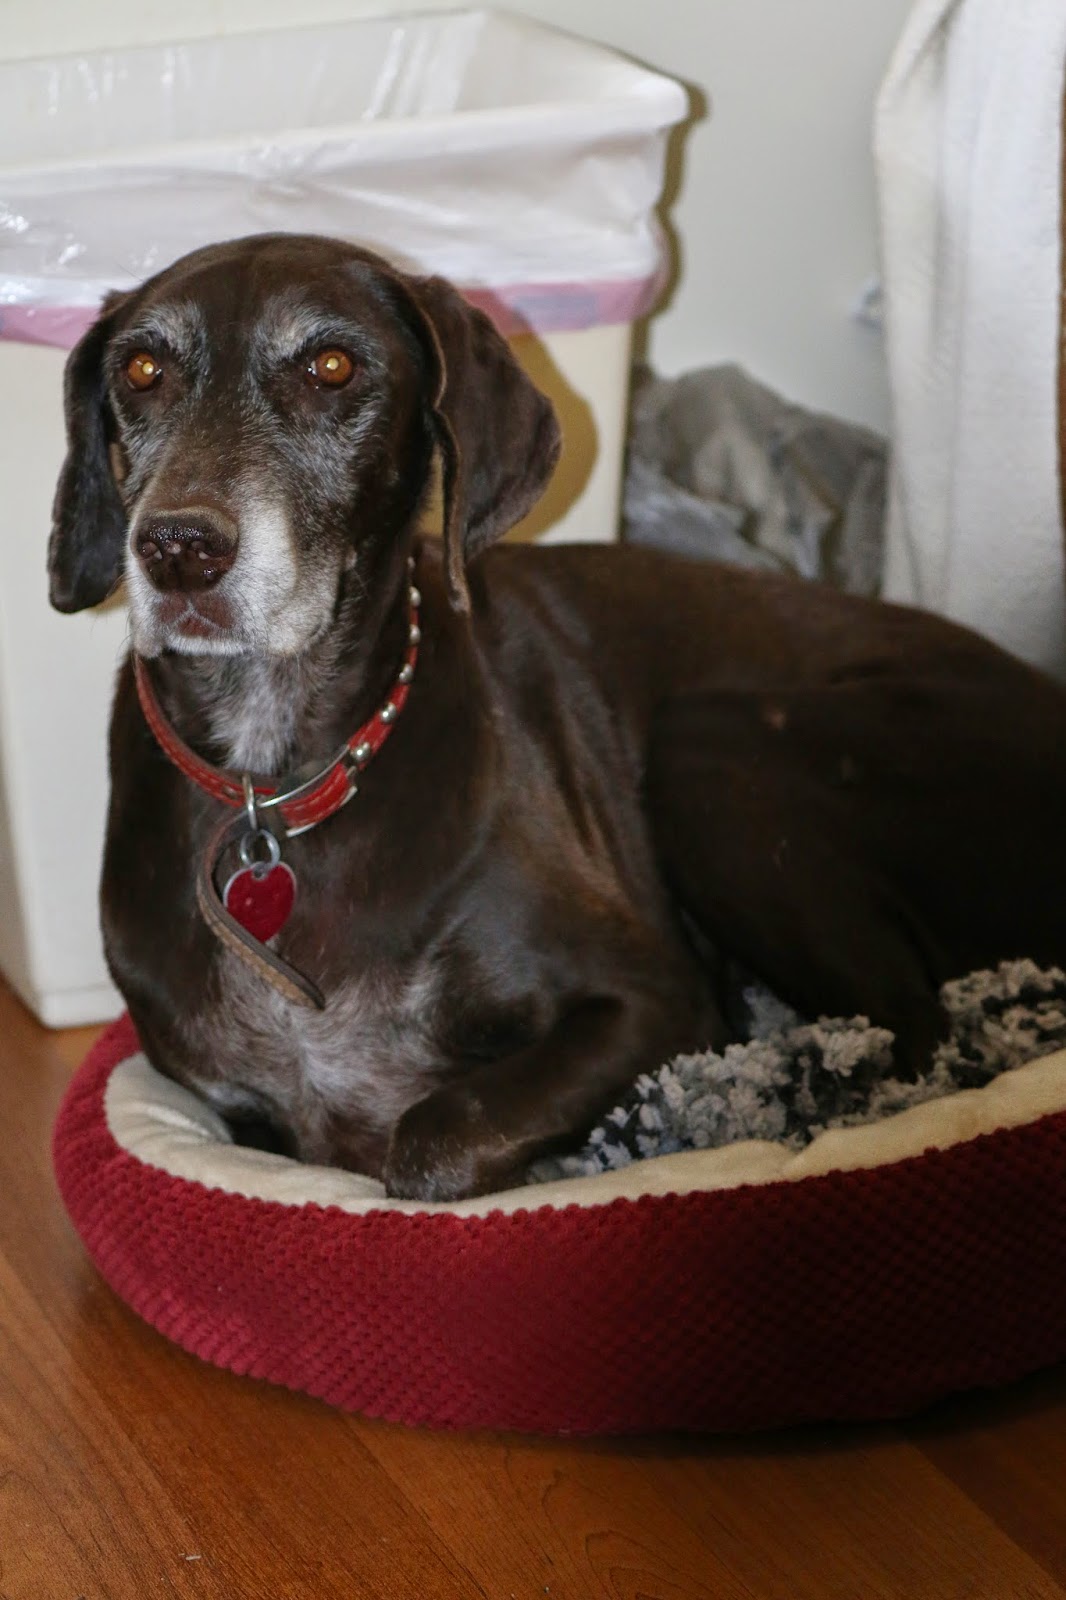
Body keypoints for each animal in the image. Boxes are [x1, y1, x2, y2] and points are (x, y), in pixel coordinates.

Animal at [48, 232, 1066, 1201]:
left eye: (330, 367)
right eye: (142, 370)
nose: (178, 549)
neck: (279, 779)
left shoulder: (652, 1003)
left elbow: (430, 1136)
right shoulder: (238, 1109)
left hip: (716, 748)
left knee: (917, 1040)